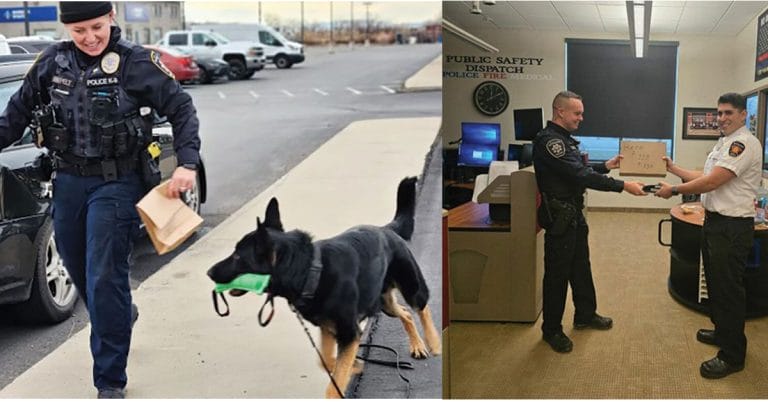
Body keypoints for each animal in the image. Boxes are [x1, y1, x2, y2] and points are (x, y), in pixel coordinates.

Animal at [207, 177, 440, 398]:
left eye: (238, 257)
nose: (209, 272)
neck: (310, 270)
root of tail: (386, 229)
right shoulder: (330, 329)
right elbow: (327, 361)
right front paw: (354, 365)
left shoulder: (349, 333)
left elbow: (334, 380)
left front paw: (345, 374)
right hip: (384, 303)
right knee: (406, 314)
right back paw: (417, 345)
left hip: (411, 288)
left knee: (422, 307)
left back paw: (433, 342)